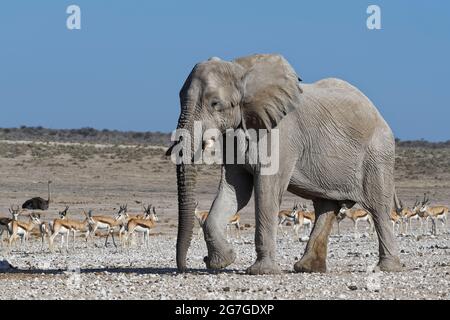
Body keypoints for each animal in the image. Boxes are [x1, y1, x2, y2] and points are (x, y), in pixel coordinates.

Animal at [168, 53, 400, 274]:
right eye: (178, 98)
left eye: (215, 104)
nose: (184, 268)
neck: (244, 72)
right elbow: (236, 189)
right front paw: (222, 261)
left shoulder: (281, 134)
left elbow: (266, 189)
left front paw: (261, 272)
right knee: (326, 206)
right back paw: (307, 268)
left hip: (378, 155)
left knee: (378, 209)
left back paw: (386, 268)